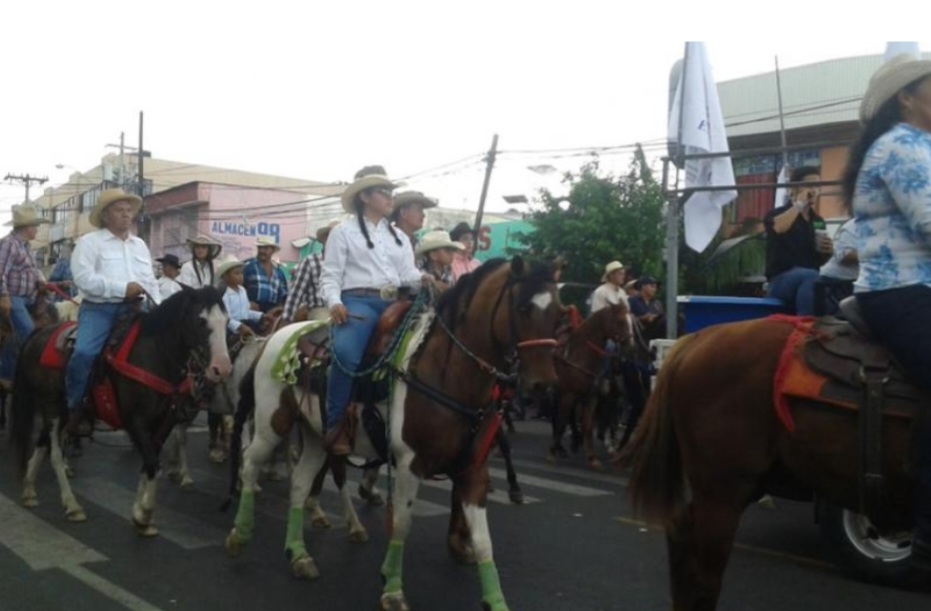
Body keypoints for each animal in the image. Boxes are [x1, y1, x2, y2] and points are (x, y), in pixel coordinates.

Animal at [10, 290, 232, 532]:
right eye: (200, 321)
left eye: (226, 321)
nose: (222, 368)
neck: (154, 356)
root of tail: (39, 333)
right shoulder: (136, 421)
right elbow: (152, 462)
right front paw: (145, 513)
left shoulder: (164, 421)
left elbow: (150, 463)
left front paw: (139, 512)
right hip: (52, 406)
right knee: (55, 453)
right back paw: (72, 505)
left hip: (61, 409)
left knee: (42, 442)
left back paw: (29, 490)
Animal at [544, 304, 636, 470]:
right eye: (620, 321)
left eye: (631, 322)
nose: (631, 349)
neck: (581, 355)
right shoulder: (569, 393)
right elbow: (561, 423)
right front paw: (551, 453)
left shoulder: (592, 396)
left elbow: (587, 426)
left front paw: (593, 458)